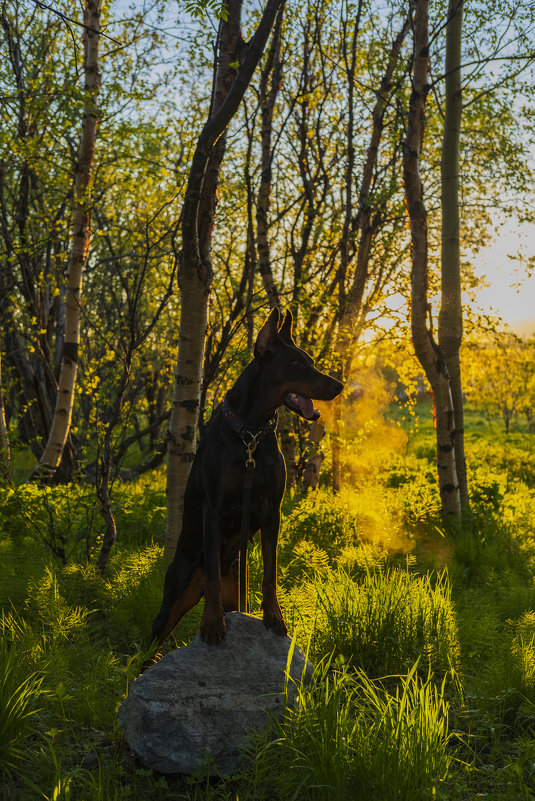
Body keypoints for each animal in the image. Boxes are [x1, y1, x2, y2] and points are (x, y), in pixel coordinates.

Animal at [151, 306, 344, 648]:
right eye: (296, 364)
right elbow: (215, 576)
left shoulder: (272, 511)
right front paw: (212, 624)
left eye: (311, 360)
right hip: (176, 593)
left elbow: (270, 573)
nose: (338, 386)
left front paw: (274, 617)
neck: (251, 434)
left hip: (232, 593)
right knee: (153, 641)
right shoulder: (213, 510)